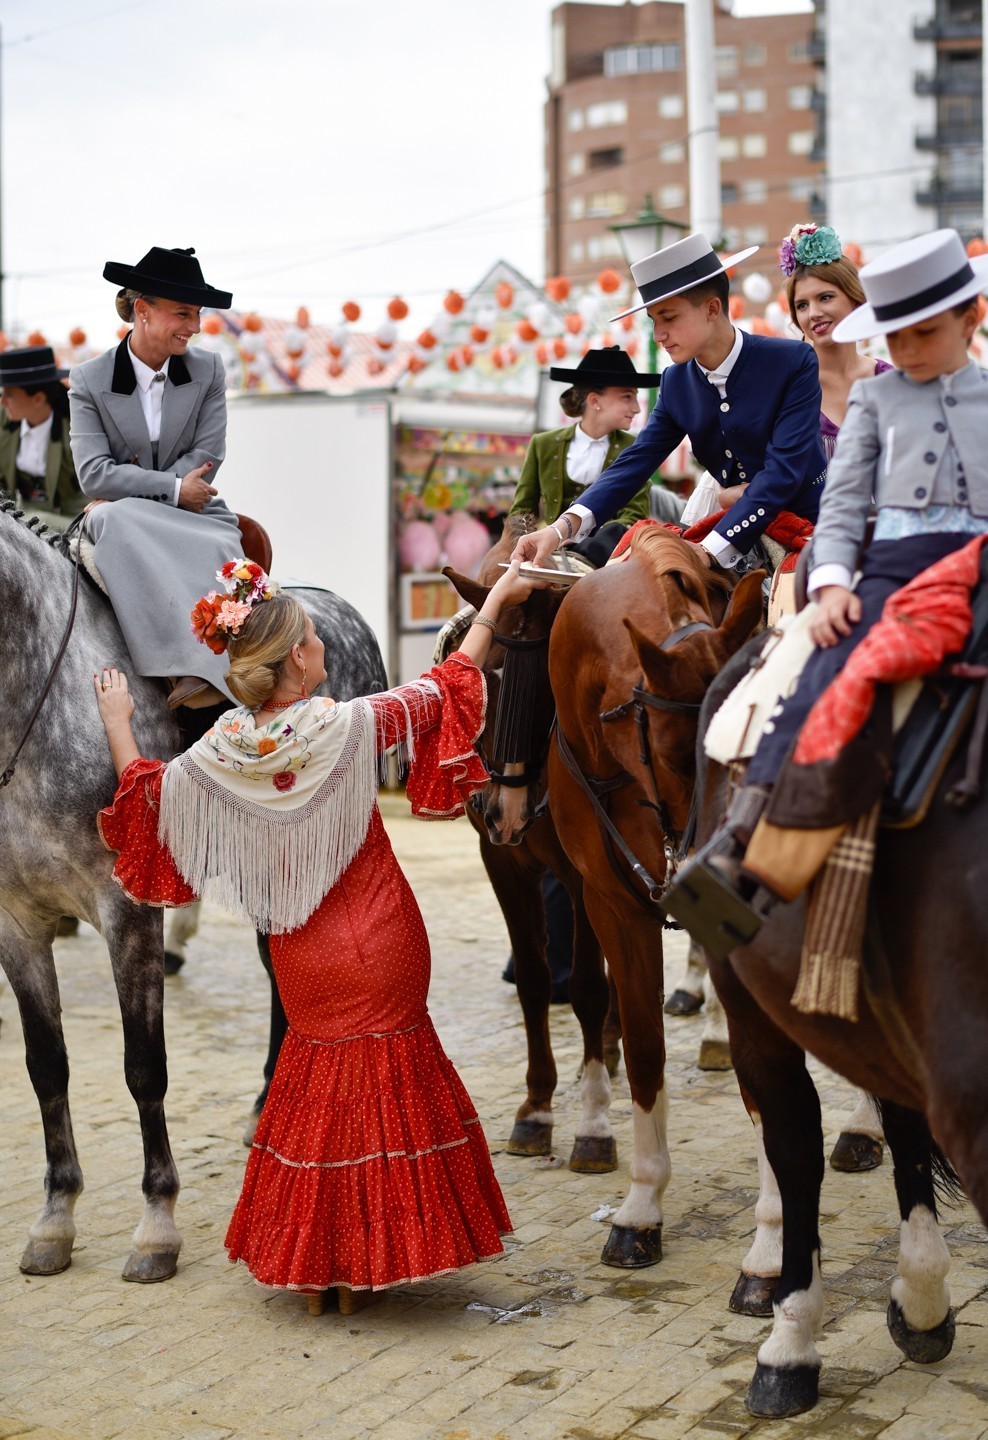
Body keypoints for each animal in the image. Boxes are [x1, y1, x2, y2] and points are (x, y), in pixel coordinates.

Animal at [0, 504, 385, 1284]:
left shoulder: (127, 910)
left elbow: (144, 1067)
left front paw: (157, 1225)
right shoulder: (15, 923)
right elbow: (45, 1066)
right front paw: (56, 1214)